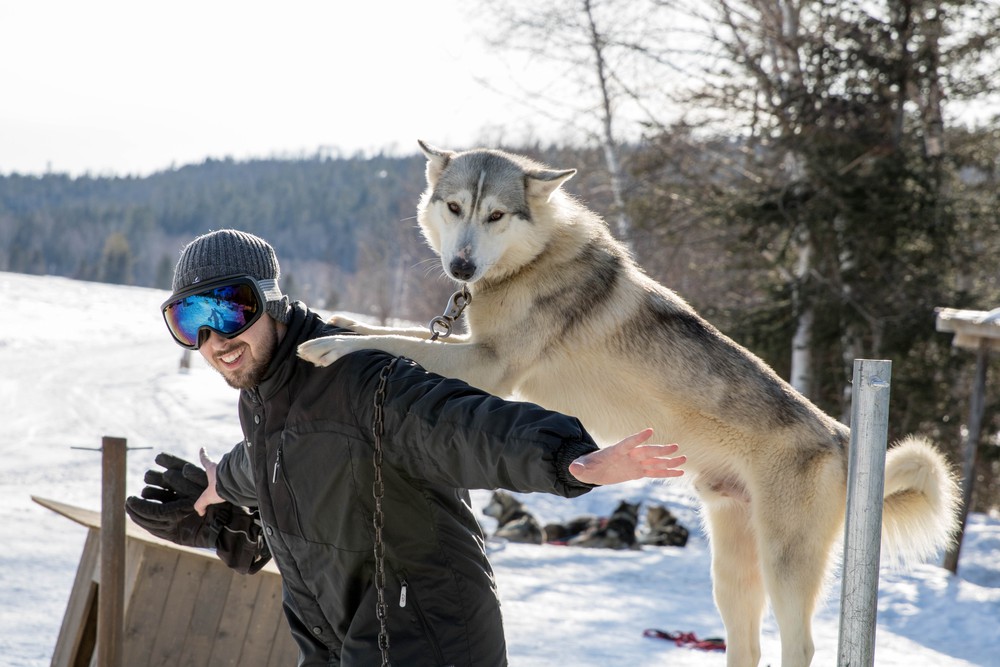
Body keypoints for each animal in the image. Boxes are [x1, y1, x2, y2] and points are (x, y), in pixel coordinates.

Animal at [297, 141, 959, 667]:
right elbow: (397, 330)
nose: (460, 265)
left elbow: (390, 340)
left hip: (784, 569)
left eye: (496, 214)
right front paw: (334, 319)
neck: (527, 262)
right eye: (455, 207)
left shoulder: (489, 366)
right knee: (746, 646)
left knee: (799, 647)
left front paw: (330, 345)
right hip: (731, 573)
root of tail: (843, 438)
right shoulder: (471, 350)